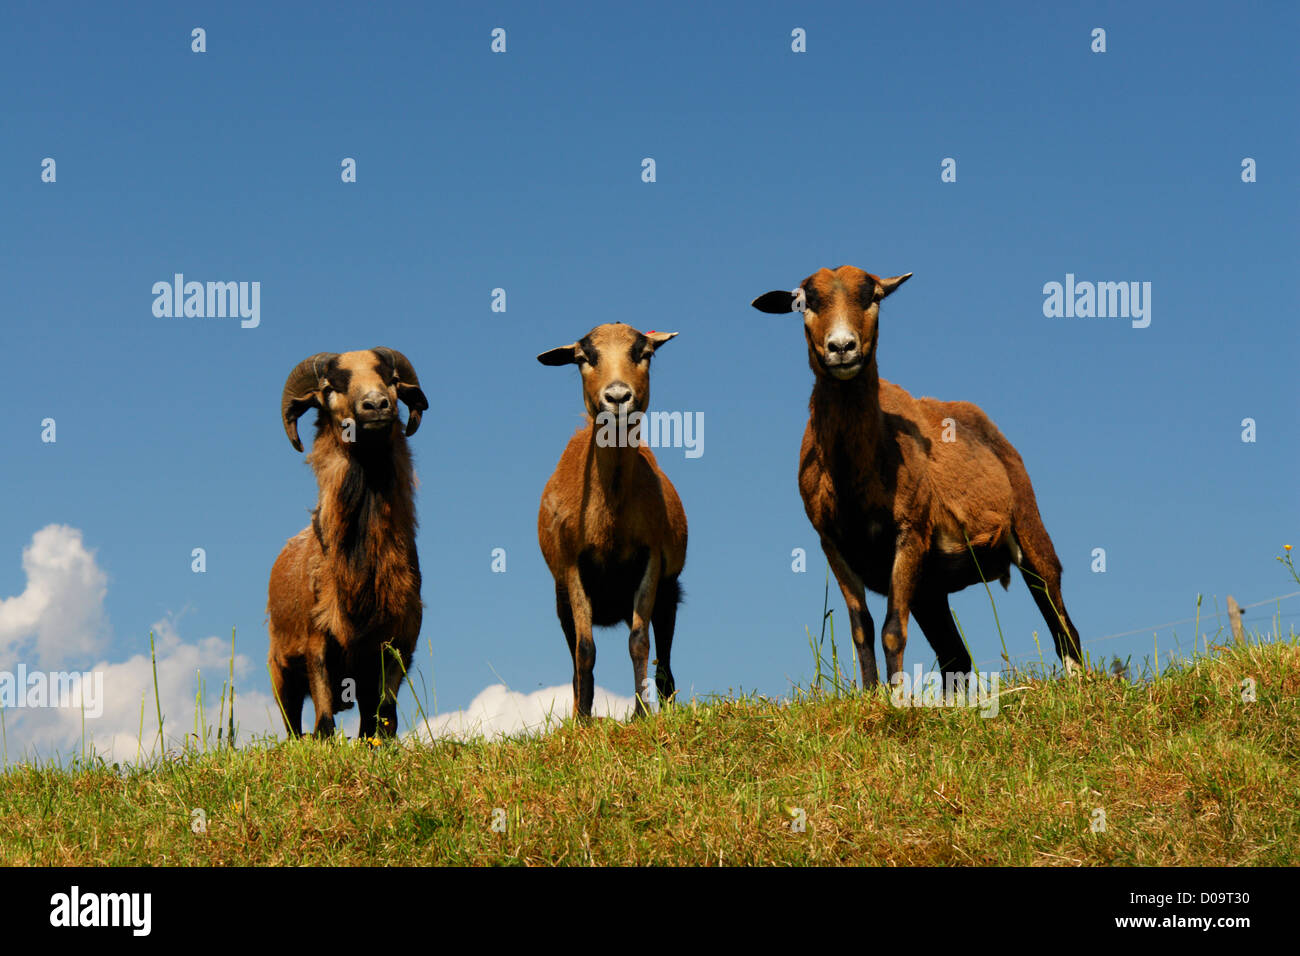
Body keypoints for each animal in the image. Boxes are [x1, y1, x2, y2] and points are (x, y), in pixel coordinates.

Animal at [267, 348, 429, 738]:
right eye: (329, 387)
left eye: (392, 378)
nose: (376, 404)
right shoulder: (316, 641)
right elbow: (324, 718)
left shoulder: (398, 644)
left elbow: (383, 717)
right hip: (281, 669)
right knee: (292, 723)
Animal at [537, 323, 688, 719]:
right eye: (583, 358)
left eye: (644, 353)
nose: (618, 396)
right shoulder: (572, 566)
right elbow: (585, 649)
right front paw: (583, 719)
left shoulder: (651, 558)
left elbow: (639, 641)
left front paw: (641, 712)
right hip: (561, 598)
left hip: (670, 590)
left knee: (664, 656)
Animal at [752, 266, 1083, 686]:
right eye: (805, 303)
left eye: (873, 297)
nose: (842, 347)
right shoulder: (833, 544)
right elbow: (861, 628)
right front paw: (872, 693)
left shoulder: (910, 530)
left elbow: (893, 630)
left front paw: (896, 695)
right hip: (930, 586)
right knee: (956, 657)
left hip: (1028, 525)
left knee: (1063, 626)